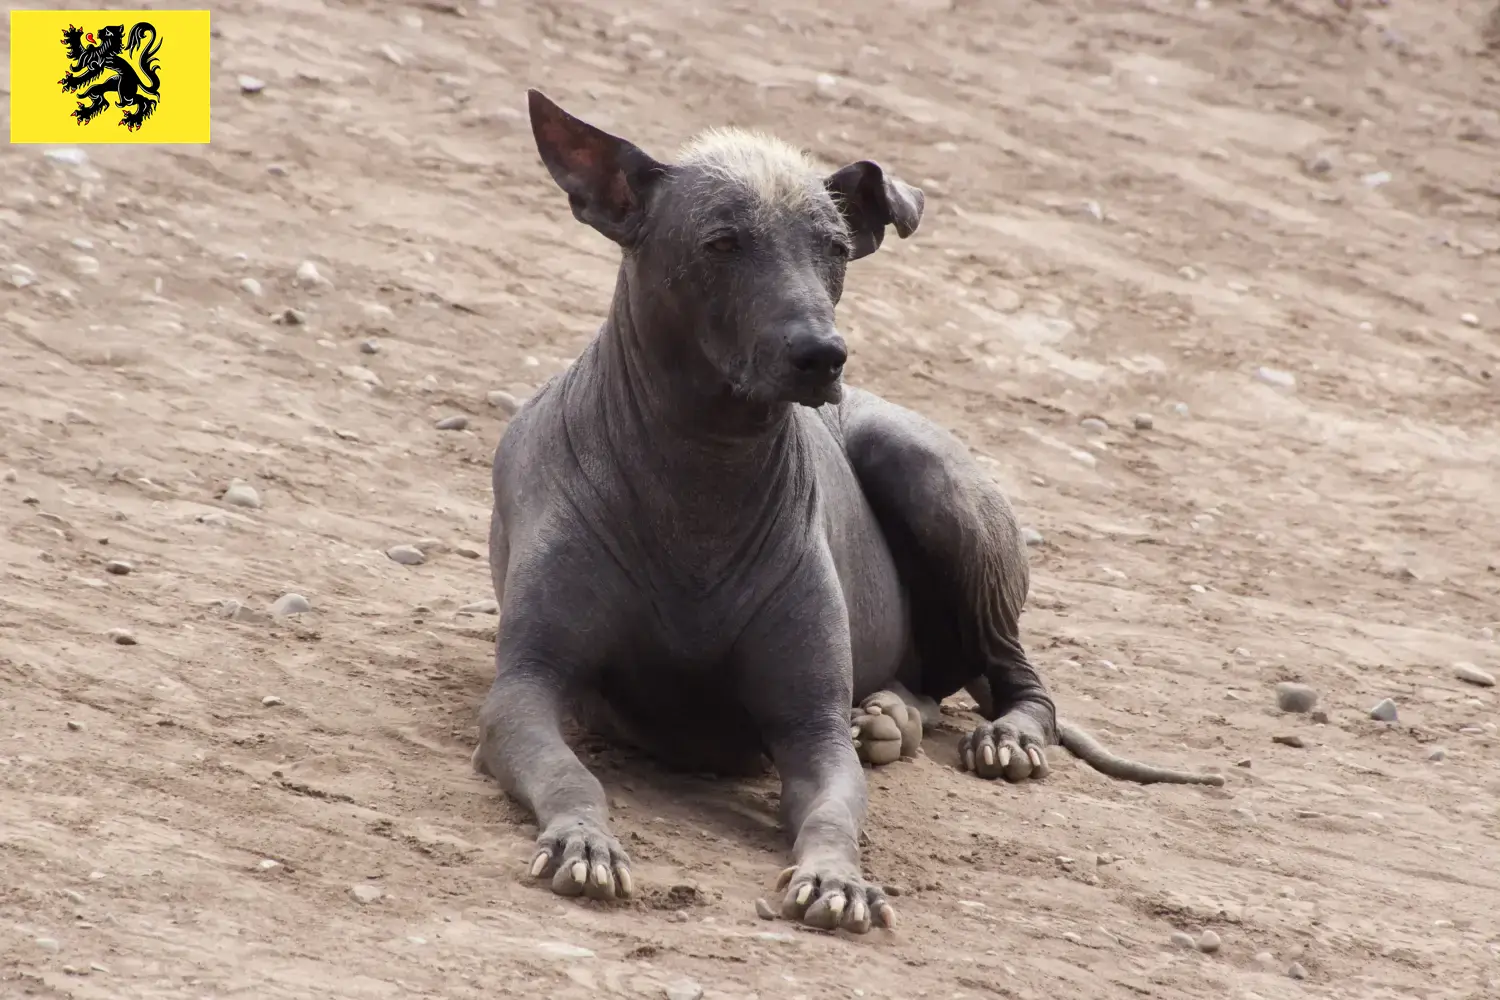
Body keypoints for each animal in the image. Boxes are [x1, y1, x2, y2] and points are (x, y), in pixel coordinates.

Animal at [474, 88, 1224, 941]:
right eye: (721, 242)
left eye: (833, 248)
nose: (822, 354)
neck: (703, 474)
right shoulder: (525, 690)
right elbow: (573, 778)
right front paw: (585, 843)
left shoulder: (812, 730)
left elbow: (834, 812)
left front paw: (837, 880)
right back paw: (894, 716)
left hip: (927, 474)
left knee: (1016, 677)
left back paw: (997, 736)